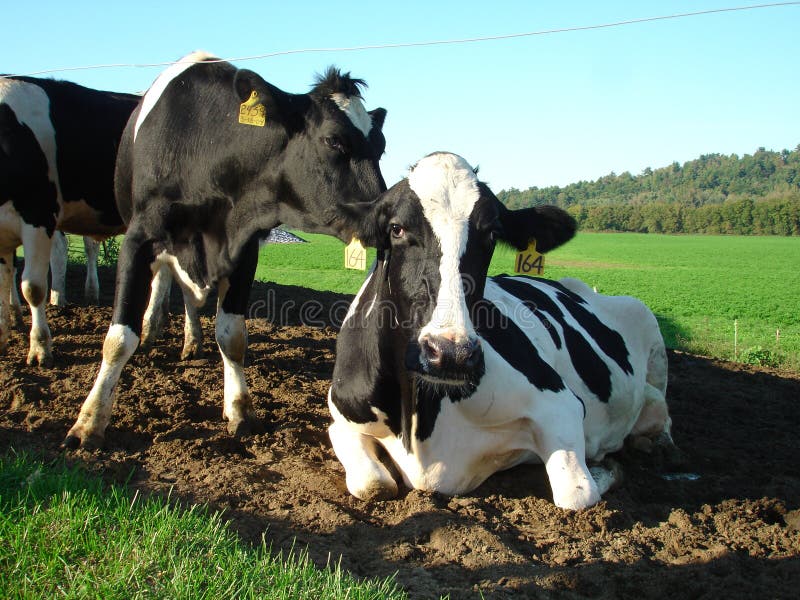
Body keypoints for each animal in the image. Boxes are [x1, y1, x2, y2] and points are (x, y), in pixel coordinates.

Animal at [63, 51, 388, 448]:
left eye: (381, 146)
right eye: (335, 141)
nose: (386, 212)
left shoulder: (244, 249)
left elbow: (232, 336)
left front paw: (240, 411)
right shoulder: (138, 239)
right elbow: (119, 338)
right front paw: (90, 421)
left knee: (187, 294)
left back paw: (192, 341)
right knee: (164, 281)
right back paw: (152, 328)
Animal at [328, 152, 672, 508]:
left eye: (492, 233)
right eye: (396, 228)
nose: (451, 353)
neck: (418, 422)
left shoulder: (561, 404)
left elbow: (576, 494)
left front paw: (607, 467)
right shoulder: (341, 418)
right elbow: (373, 485)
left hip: (649, 325)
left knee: (659, 405)